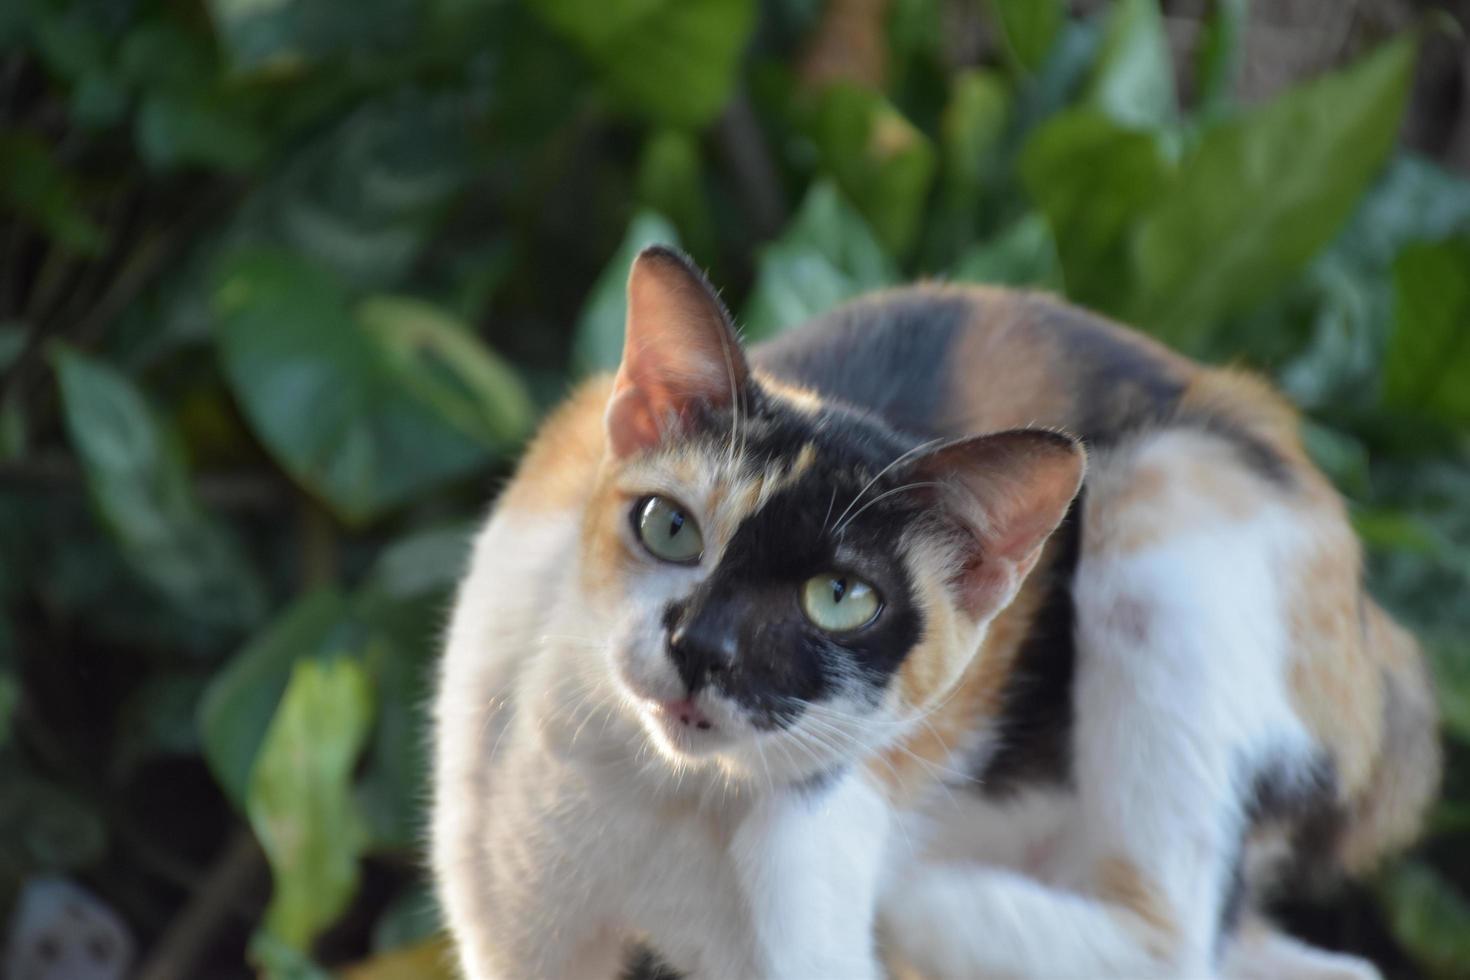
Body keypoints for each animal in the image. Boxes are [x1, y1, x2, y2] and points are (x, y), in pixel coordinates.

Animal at [429, 246, 1434, 980]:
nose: (702, 646)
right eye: (669, 528)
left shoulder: (804, 918)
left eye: (842, 599)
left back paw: (929, 905)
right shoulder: (513, 930)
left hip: (1172, 506)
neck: (657, 798)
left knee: (1175, 938)